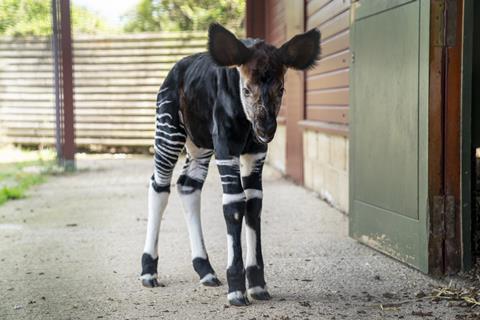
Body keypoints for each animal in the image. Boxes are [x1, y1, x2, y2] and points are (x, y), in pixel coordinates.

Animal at [141, 24, 320, 304]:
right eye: (246, 90)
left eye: (281, 89)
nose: (265, 129)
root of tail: (175, 68)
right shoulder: (227, 148)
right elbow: (234, 206)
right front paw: (237, 290)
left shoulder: (255, 154)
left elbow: (254, 206)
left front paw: (257, 286)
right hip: (169, 130)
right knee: (159, 185)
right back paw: (149, 272)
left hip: (200, 144)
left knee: (187, 185)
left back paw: (205, 270)